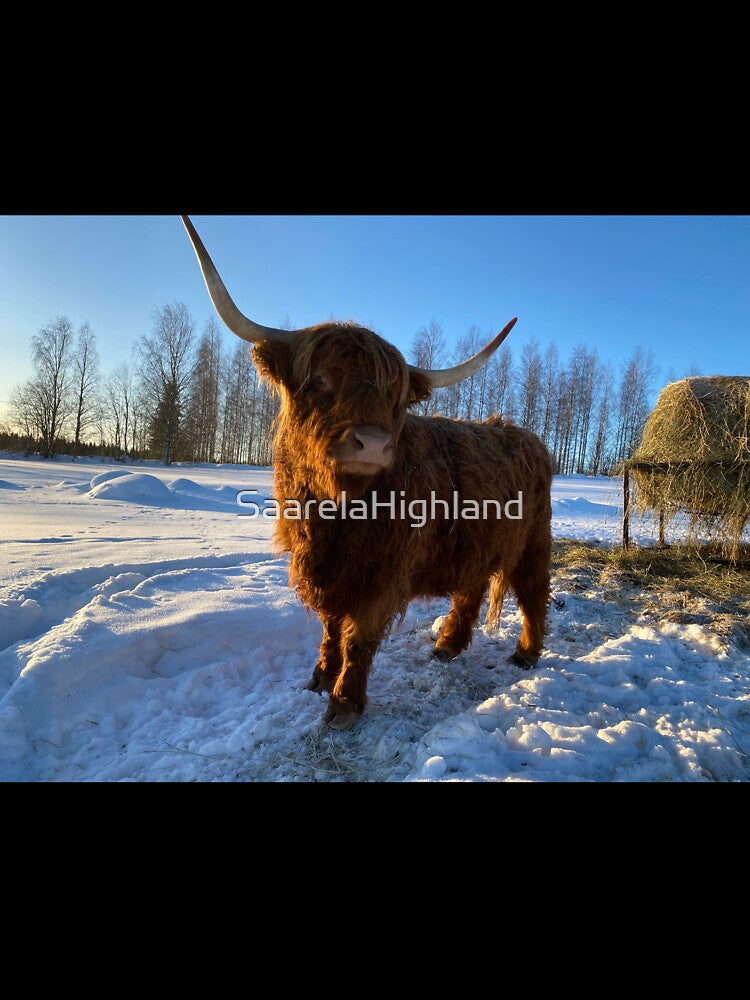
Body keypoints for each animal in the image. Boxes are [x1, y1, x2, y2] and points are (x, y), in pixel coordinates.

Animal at [181, 216, 553, 730]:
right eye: (319, 380)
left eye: (395, 398)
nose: (374, 443)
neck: (337, 514)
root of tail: (526, 435)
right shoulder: (322, 567)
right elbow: (330, 625)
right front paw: (320, 677)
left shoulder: (384, 571)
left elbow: (358, 634)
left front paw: (344, 703)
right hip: (478, 543)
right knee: (472, 588)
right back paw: (448, 645)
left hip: (534, 538)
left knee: (534, 592)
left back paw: (525, 654)